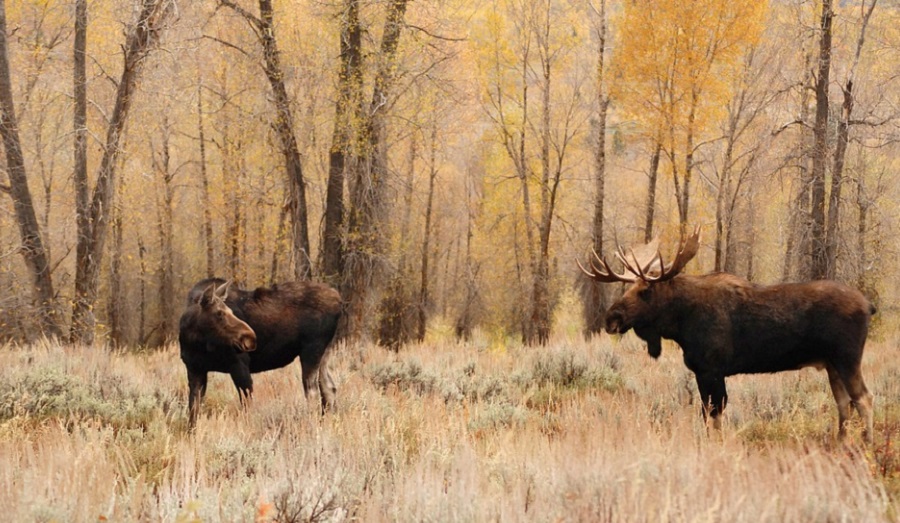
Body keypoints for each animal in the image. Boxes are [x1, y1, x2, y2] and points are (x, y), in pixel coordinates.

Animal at [178, 278, 342, 426]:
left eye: (230, 311)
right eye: (219, 313)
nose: (250, 337)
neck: (196, 343)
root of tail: (339, 301)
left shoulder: (239, 365)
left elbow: (247, 407)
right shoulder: (195, 370)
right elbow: (193, 413)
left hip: (311, 349)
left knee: (312, 392)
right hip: (324, 352)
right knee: (329, 388)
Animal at [580, 228, 876, 442]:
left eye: (645, 290)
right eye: (627, 288)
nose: (611, 318)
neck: (681, 323)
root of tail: (869, 306)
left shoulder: (711, 369)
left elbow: (715, 414)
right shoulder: (703, 372)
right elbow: (707, 414)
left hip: (847, 359)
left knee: (864, 398)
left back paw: (866, 445)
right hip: (832, 364)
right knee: (844, 402)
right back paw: (841, 442)